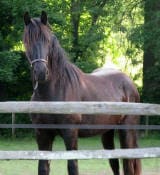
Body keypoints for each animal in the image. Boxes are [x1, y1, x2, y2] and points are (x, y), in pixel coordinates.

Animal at [22, 11, 141, 175]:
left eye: (47, 39)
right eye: (26, 40)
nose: (40, 72)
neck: (53, 92)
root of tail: (129, 82)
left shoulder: (70, 133)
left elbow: (73, 167)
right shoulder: (42, 135)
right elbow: (43, 168)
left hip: (127, 131)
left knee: (128, 165)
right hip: (107, 132)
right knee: (114, 163)